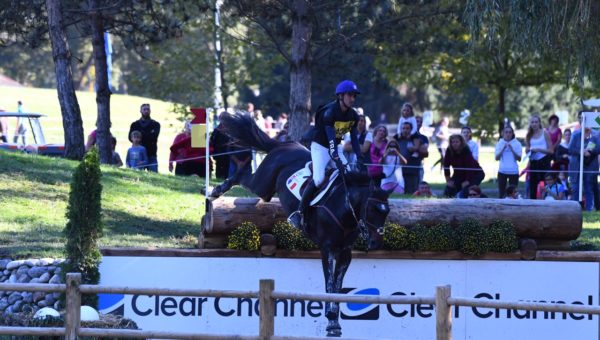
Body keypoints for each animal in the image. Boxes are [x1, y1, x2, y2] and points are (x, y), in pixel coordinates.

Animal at [209, 112, 392, 338]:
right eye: (373, 209)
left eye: (386, 212)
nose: (376, 243)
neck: (344, 208)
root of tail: (284, 144)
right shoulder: (327, 249)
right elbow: (329, 284)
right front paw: (331, 321)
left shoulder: (345, 253)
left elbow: (338, 286)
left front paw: (335, 322)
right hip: (263, 185)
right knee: (243, 175)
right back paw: (216, 190)